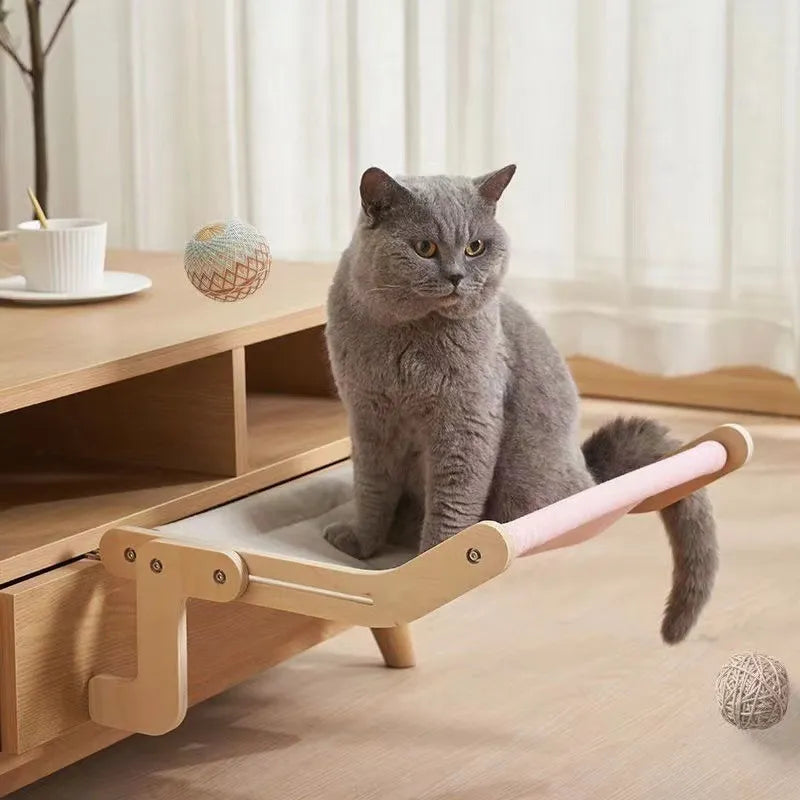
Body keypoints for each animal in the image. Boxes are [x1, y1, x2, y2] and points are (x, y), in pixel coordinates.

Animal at [322, 164, 716, 644]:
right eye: (424, 247)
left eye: (475, 247)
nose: (457, 275)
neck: (405, 342)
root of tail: (593, 475)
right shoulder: (367, 418)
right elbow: (371, 490)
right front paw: (363, 546)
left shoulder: (467, 415)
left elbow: (454, 498)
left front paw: (433, 561)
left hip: (523, 479)